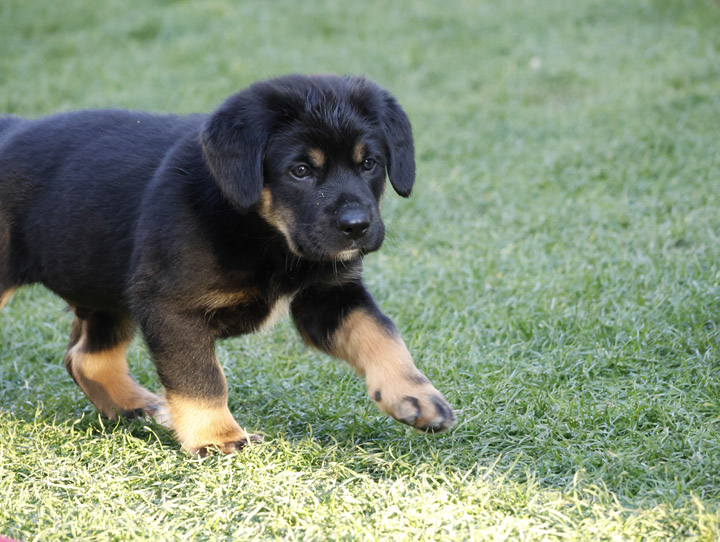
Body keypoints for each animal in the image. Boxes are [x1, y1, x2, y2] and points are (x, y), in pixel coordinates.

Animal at [0, 73, 452, 454]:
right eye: (300, 170)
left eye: (369, 163)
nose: (356, 226)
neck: (266, 237)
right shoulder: (171, 308)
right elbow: (201, 379)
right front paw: (217, 437)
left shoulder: (329, 295)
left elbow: (381, 334)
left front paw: (416, 395)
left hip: (105, 287)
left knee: (86, 356)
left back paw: (137, 406)